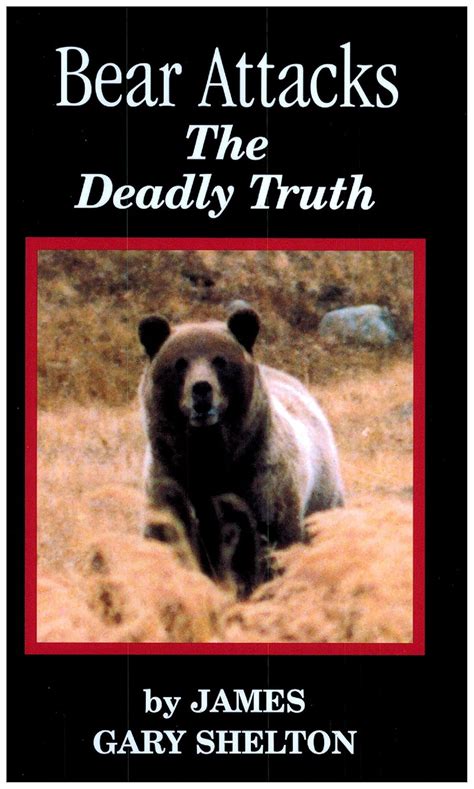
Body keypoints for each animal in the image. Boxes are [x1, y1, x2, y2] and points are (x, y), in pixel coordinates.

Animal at [138, 304, 344, 596]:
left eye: (220, 360)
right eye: (180, 363)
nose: (202, 389)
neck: (209, 455)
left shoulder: (261, 482)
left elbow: (267, 547)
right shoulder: (169, 480)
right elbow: (167, 539)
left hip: (322, 498)